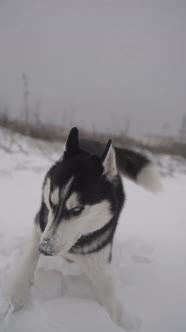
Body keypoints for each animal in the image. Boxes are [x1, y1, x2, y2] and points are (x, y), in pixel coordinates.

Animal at [9, 127, 161, 330]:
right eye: (52, 202)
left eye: (77, 210)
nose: (45, 249)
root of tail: (93, 143)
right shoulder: (41, 225)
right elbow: (29, 257)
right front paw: (18, 291)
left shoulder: (99, 261)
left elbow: (110, 300)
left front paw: (116, 322)